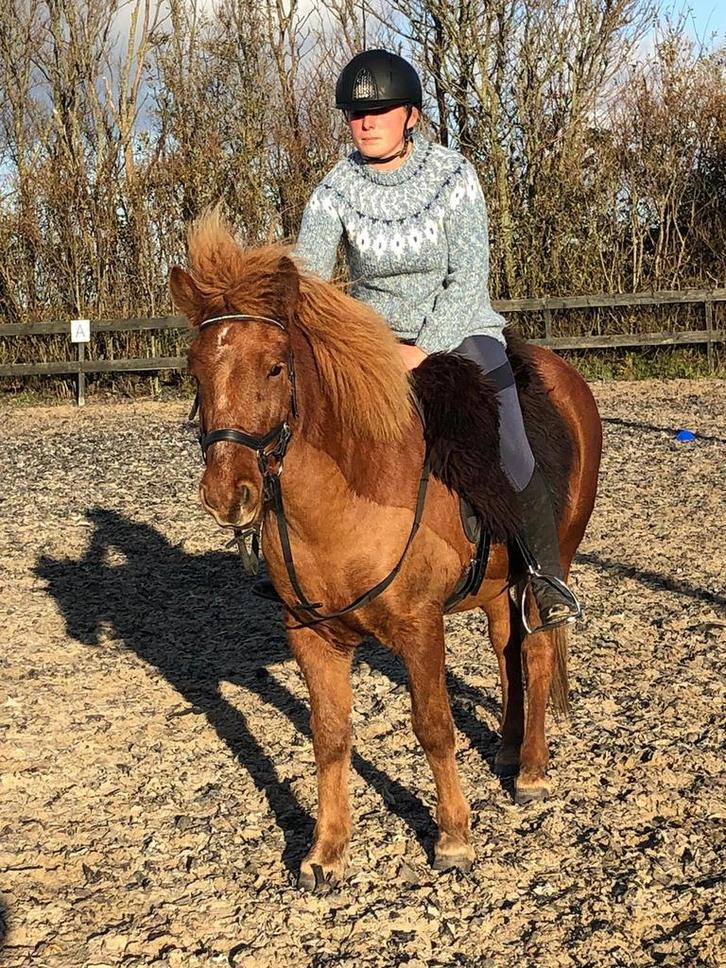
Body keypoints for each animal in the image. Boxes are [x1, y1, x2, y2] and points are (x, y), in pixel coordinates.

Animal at [169, 211, 602, 890]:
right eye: (195, 370)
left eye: (274, 367)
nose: (226, 494)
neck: (348, 496)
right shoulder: (311, 637)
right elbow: (329, 735)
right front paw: (326, 852)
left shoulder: (420, 627)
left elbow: (433, 726)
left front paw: (453, 838)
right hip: (496, 584)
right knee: (508, 651)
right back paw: (508, 750)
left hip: (547, 565)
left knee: (534, 652)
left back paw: (531, 770)